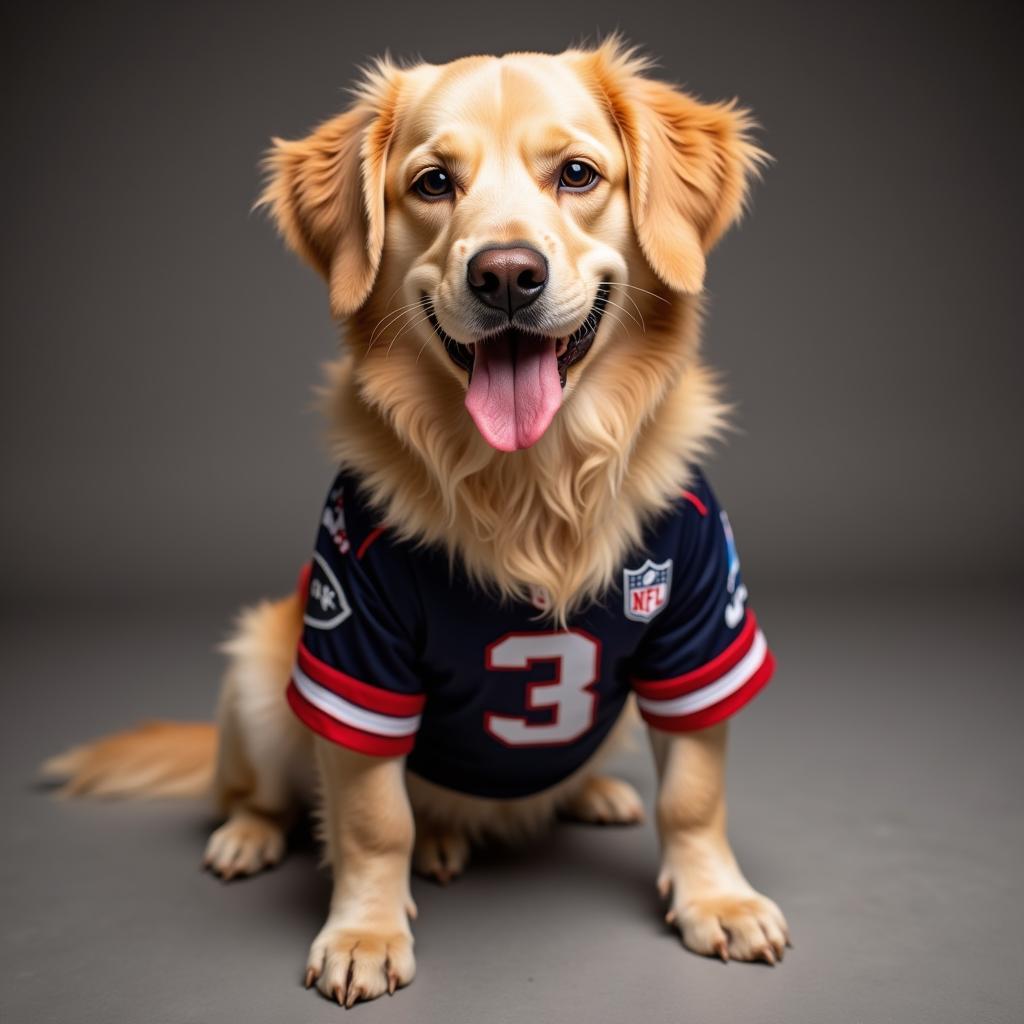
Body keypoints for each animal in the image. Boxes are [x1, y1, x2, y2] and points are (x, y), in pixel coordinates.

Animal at [44, 37, 786, 1007]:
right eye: (434, 183)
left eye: (577, 174)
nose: (506, 274)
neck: (530, 479)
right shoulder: (354, 644)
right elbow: (372, 818)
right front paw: (364, 931)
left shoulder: (700, 624)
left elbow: (692, 795)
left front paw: (717, 901)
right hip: (260, 671)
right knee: (271, 793)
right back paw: (264, 835)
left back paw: (590, 795)